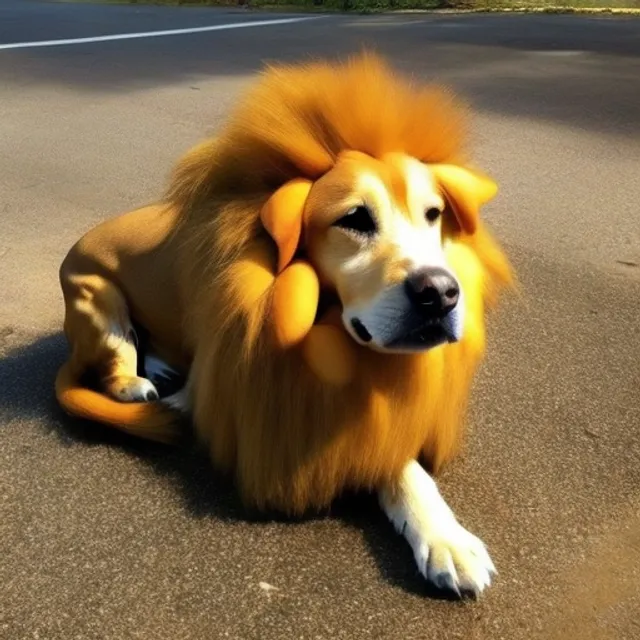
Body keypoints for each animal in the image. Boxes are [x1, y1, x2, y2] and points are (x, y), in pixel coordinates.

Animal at [55, 52, 516, 596]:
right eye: (354, 218)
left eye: (434, 214)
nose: (441, 293)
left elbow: (405, 468)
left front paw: (446, 536)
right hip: (101, 301)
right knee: (117, 360)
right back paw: (138, 384)